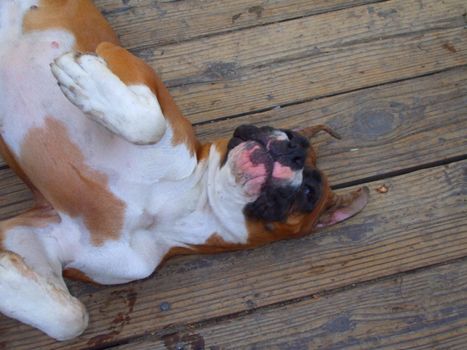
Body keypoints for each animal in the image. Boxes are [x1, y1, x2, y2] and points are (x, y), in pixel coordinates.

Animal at [0, 0, 370, 340]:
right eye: (294, 137)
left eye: (309, 193)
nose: (293, 152)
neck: (176, 208)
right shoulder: (122, 59)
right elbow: (149, 122)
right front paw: (89, 80)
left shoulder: (41, 236)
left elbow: (69, 318)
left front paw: (6, 274)